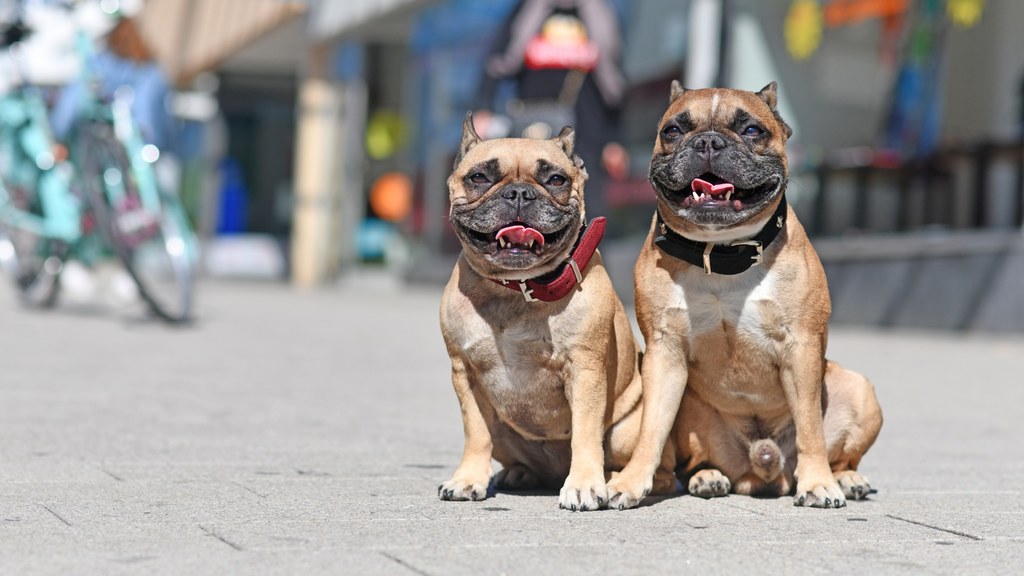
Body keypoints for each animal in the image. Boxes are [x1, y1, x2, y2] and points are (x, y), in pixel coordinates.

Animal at [438, 114, 671, 508]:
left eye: (556, 180)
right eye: (479, 177)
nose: (519, 193)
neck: (519, 289)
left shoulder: (585, 370)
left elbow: (585, 431)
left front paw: (584, 485)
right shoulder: (464, 373)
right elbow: (476, 431)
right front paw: (468, 479)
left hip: (629, 431)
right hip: (504, 431)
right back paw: (519, 473)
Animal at [602, 81, 884, 506]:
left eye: (752, 130)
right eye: (673, 130)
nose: (708, 142)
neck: (721, 253)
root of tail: (764, 470)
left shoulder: (801, 347)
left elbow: (810, 427)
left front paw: (818, 482)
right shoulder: (664, 354)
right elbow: (650, 428)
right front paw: (630, 481)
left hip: (858, 389)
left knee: (842, 454)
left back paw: (845, 479)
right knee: (692, 460)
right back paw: (708, 477)